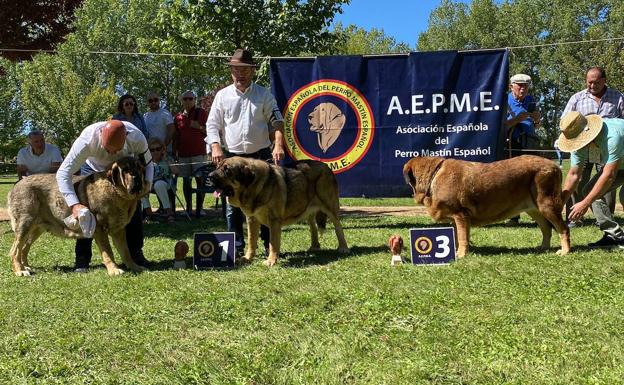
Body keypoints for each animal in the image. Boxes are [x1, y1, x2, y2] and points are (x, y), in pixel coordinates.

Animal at [8, 156, 147, 276]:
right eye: (125, 170)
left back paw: (25, 266)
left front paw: (135, 267)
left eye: (139, 167)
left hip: (37, 228)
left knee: (24, 248)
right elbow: (108, 251)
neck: (116, 193)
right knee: (15, 250)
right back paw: (20, 270)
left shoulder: (119, 230)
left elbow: (126, 251)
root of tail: (17, 184)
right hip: (25, 224)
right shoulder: (100, 229)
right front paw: (114, 270)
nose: (136, 176)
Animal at [207, 158, 348, 266]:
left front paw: (271, 261)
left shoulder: (274, 220)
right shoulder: (252, 219)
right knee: (313, 227)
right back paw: (314, 246)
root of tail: (326, 166)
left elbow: (273, 243)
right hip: (307, 209)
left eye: (227, 170)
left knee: (338, 227)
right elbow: (252, 241)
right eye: (217, 166)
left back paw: (343, 248)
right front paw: (247, 258)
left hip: (330, 207)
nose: (210, 176)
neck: (254, 188)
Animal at [404, 154, 572, 258]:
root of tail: (555, 166)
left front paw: (461, 255)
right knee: (546, 229)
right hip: (534, 209)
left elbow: (462, 237)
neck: (434, 175)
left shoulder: (460, 214)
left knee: (563, 228)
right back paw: (543, 247)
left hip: (547, 205)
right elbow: (458, 236)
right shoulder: (456, 219)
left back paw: (564, 251)